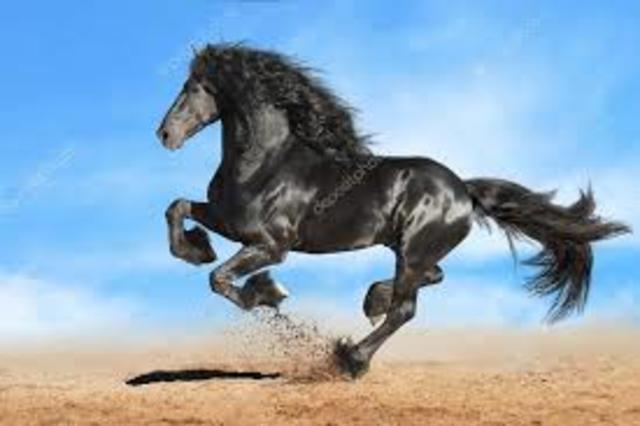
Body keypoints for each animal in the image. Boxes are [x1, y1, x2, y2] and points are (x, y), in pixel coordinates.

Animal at [156, 44, 630, 378]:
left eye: (193, 87)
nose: (164, 134)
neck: (267, 163)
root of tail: (464, 189)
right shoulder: (228, 221)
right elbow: (178, 209)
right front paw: (198, 249)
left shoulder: (271, 245)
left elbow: (220, 280)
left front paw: (268, 292)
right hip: (408, 249)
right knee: (425, 282)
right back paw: (373, 300)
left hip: (415, 250)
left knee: (407, 309)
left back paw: (351, 357)